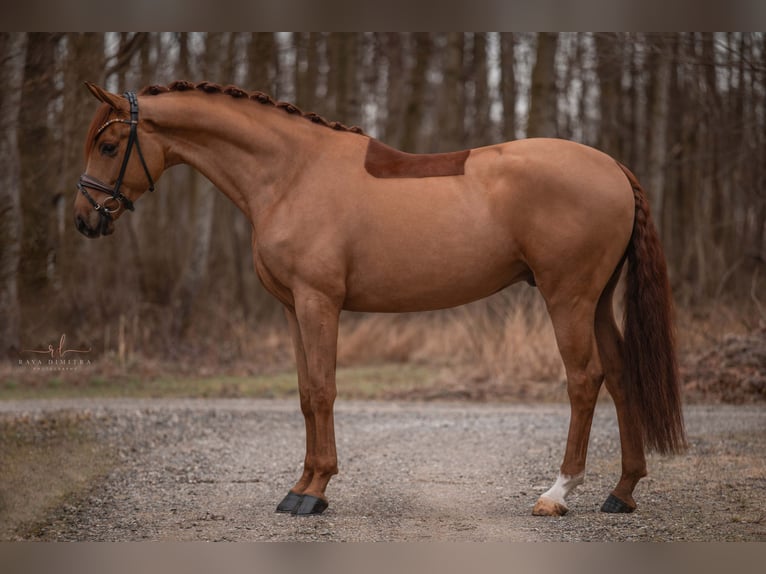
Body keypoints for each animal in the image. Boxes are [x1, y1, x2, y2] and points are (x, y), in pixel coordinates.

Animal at [73, 82, 688, 520]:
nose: (84, 220)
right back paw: (622, 492)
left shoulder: (319, 302)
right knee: (622, 375)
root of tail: (612, 166)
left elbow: (323, 391)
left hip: (568, 297)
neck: (292, 173)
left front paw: (314, 492)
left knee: (585, 380)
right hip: (598, 300)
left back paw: (557, 493)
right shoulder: (293, 309)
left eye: (109, 145)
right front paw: (300, 485)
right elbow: (305, 394)